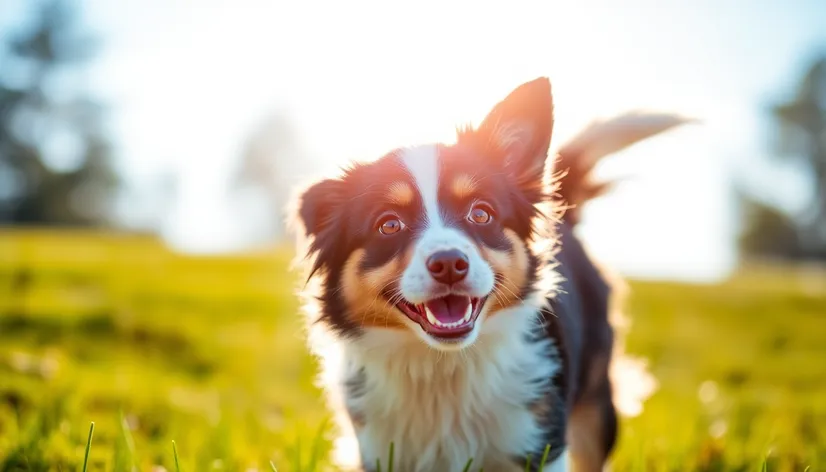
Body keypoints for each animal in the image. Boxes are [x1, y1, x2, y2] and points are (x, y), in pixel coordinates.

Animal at [290, 78, 688, 472]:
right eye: (388, 224)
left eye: (481, 213)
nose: (450, 262)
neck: (443, 367)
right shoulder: (378, 449)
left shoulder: (540, 441)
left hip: (597, 404)